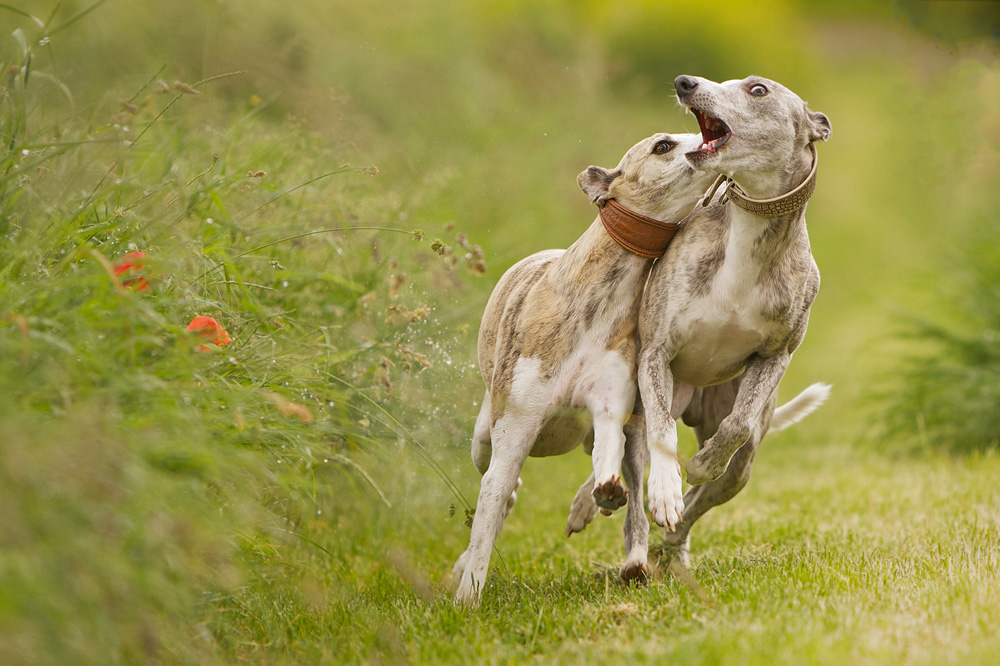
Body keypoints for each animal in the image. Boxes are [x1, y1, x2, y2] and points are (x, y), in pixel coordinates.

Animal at [450, 132, 716, 604]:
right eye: (663, 145)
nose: (709, 138)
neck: (598, 297)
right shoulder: (514, 428)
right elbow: (487, 517)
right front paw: (467, 597)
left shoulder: (610, 405)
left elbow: (607, 452)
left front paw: (606, 490)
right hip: (484, 434)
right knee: (496, 478)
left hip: (632, 431)